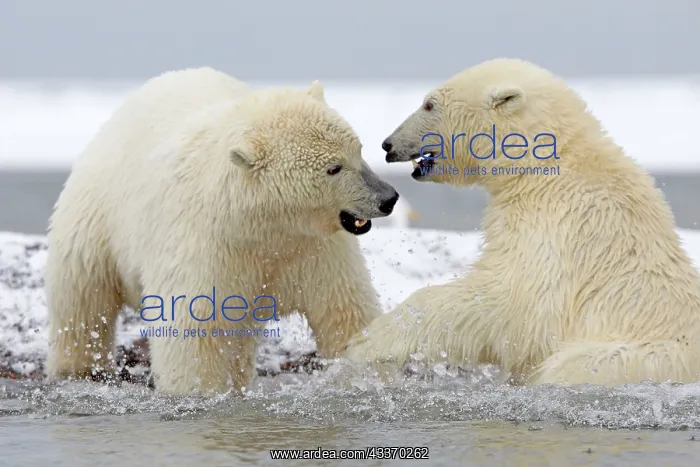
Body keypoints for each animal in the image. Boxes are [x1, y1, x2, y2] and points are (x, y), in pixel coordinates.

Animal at [44, 67, 400, 396]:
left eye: (358, 149)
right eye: (333, 168)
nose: (388, 197)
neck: (260, 224)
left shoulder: (314, 247)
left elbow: (344, 310)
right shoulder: (206, 244)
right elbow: (195, 330)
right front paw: (201, 393)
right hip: (96, 216)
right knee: (82, 299)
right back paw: (77, 369)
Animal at [343, 58, 700, 386]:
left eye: (429, 104)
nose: (388, 144)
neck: (544, 170)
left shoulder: (554, 226)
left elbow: (508, 300)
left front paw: (366, 341)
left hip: (629, 359)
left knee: (570, 365)